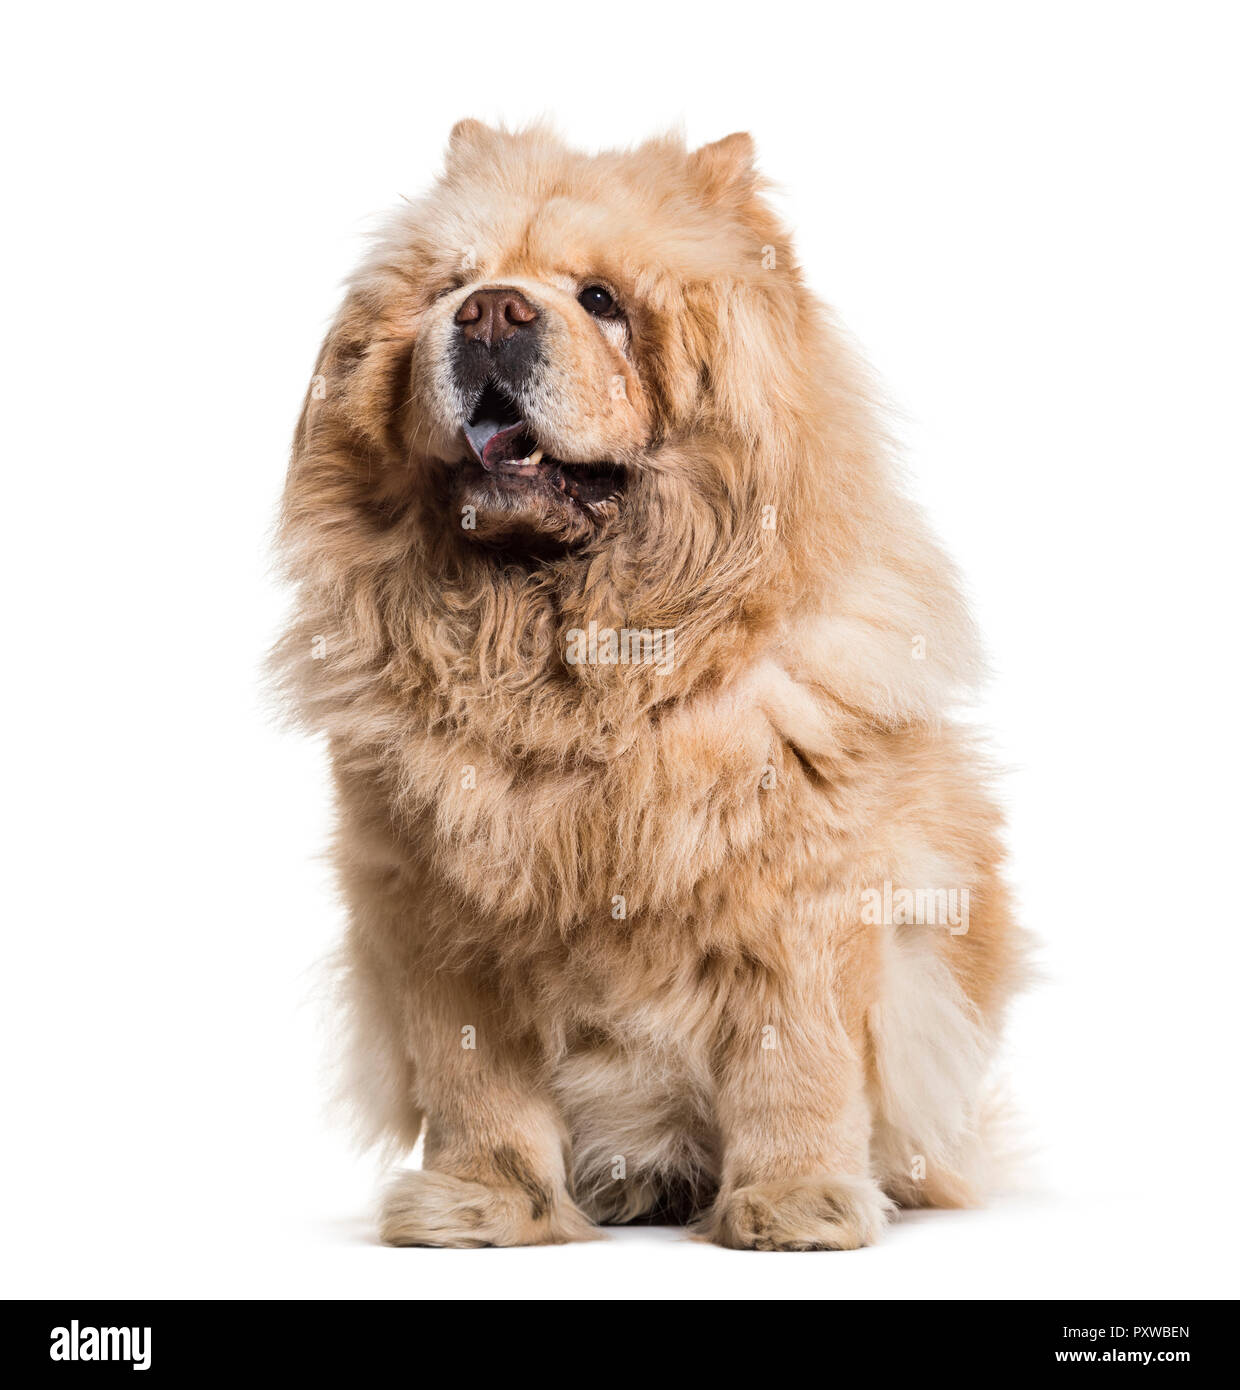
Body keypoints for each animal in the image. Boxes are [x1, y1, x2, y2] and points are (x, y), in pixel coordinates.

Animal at [276, 119, 1023, 1251]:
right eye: (454, 287)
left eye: (601, 299)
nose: (490, 311)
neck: (568, 664)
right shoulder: (437, 913)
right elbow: (474, 1078)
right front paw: (482, 1205)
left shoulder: (801, 898)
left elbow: (794, 1061)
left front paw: (798, 1204)